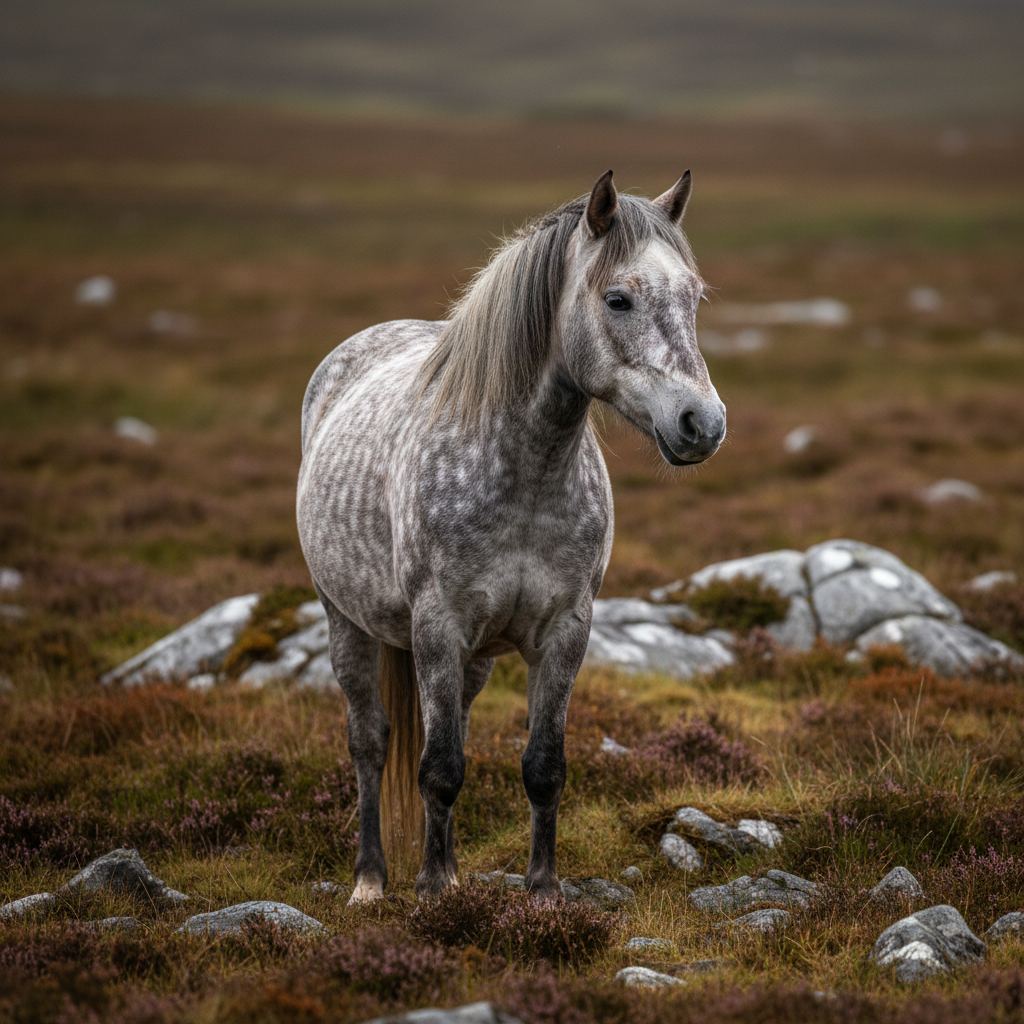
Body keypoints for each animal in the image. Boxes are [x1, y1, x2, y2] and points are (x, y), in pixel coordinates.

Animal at [296, 169, 726, 904]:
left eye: (692, 297)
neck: (527, 476)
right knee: (371, 744)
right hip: (347, 621)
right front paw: (433, 893)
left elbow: (542, 766)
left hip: (475, 657)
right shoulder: (438, 625)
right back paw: (372, 880)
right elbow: (437, 768)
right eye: (617, 298)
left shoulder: (565, 629)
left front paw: (542, 893)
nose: (703, 423)